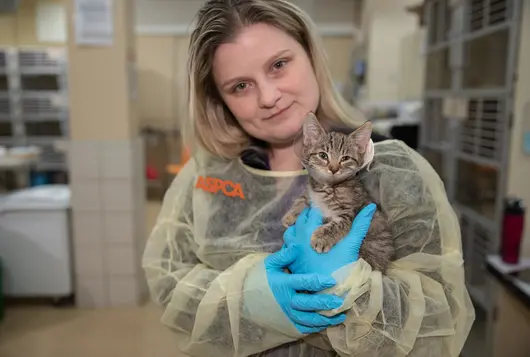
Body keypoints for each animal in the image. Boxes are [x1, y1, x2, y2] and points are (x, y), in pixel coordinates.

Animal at [282, 112, 394, 272]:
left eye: (345, 158)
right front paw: (291, 215)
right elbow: (303, 198)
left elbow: (336, 225)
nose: (333, 169)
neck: (328, 187)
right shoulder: (312, 190)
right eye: (323, 155)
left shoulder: (348, 213)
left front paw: (322, 238)